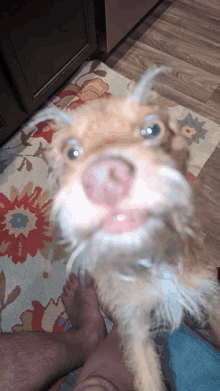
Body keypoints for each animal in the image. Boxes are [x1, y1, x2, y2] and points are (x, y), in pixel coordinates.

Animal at [33, 67, 220, 391]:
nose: (104, 177)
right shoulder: (135, 328)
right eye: (71, 152)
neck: (151, 258)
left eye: (152, 129)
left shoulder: (210, 292)